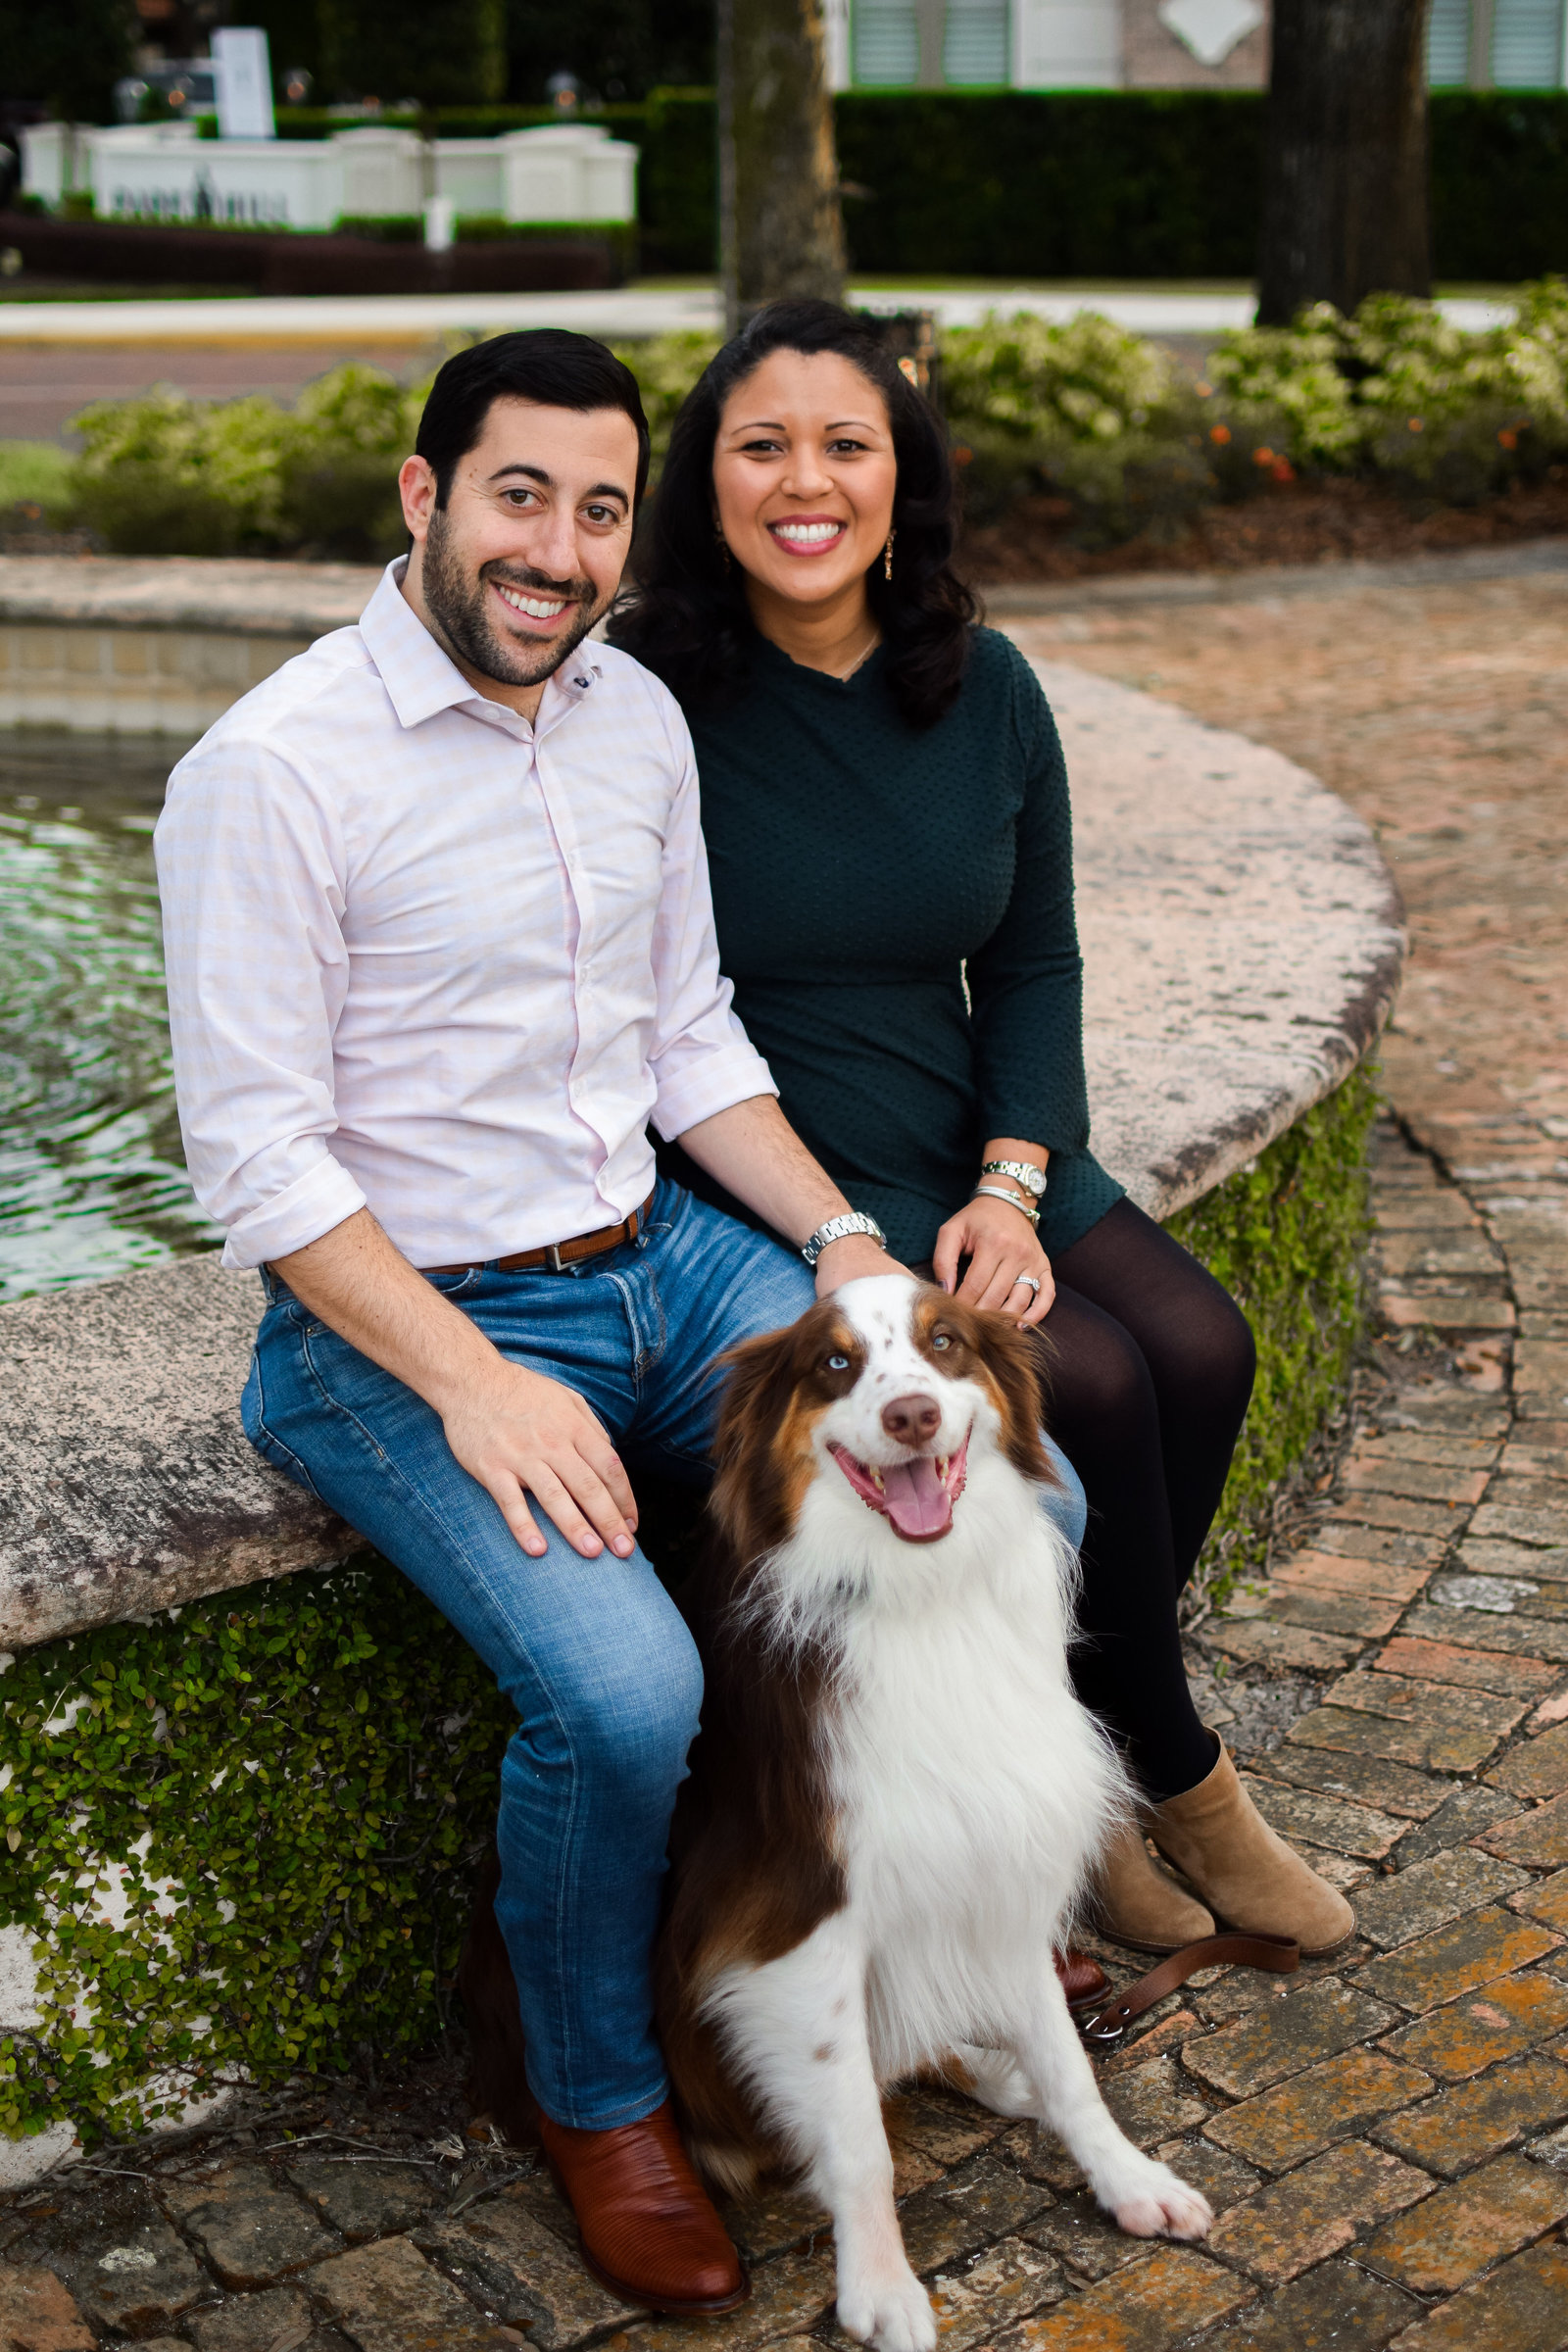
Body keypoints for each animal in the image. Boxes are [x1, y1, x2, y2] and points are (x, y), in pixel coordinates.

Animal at [658, 1279, 1212, 2342]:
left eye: (944, 1341)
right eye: (835, 1364)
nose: (910, 1415)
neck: (922, 1593)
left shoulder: (1003, 1853)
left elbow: (1069, 2064)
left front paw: (1127, 2180)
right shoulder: (800, 1922)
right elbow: (856, 2135)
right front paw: (878, 2287)